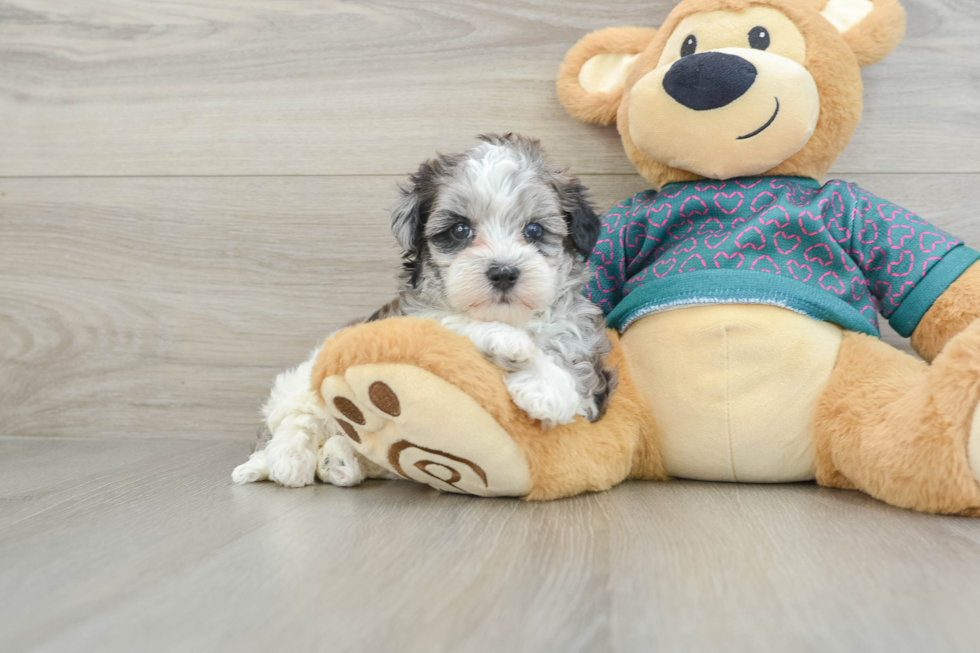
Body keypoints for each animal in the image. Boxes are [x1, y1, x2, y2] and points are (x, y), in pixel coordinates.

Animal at [234, 134, 616, 488]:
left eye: (534, 230)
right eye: (460, 229)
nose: (504, 272)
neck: (509, 317)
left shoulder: (580, 348)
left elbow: (572, 374)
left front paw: (548, 386)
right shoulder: (410, 318)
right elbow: (454, 321)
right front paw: (510, 343)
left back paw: (340, 460)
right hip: (306, 378)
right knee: (297, 418)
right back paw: (288, 459)